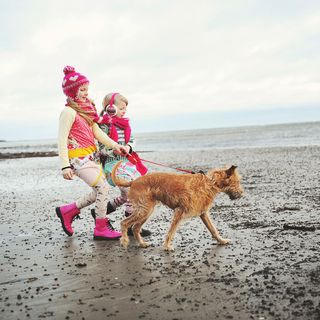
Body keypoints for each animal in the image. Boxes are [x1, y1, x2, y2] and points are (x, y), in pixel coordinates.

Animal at [111, 162, 244, 250]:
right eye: (237, 182)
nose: (242, 194)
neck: (209, 183)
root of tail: (134, 181)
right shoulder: (179, 212)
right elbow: (171, 232)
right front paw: (167, 246)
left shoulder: (203, 213)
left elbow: (213, 229)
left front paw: (221, 240)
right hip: (144, 211)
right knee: (124, 223)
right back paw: (124, 241)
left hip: (146, 211)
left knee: (135, 228)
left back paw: (142, 244)